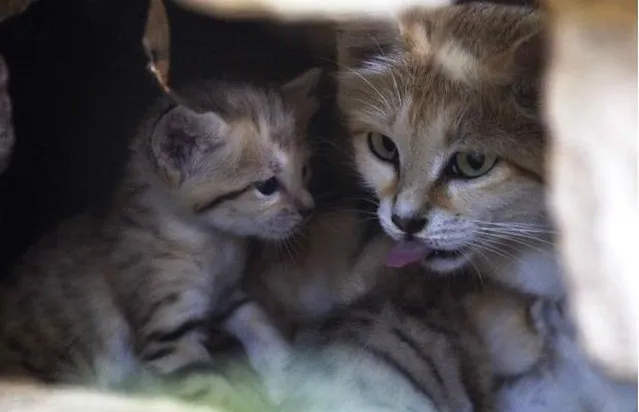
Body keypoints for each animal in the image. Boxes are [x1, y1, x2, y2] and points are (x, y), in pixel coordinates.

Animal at [0, 67, 320, 386]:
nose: (309, 208)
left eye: (304, 171)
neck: (214, 241)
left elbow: (257, 319)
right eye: (267, 186)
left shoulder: (227, 295)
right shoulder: (171, 332)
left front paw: (290, 368)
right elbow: (207, 385)